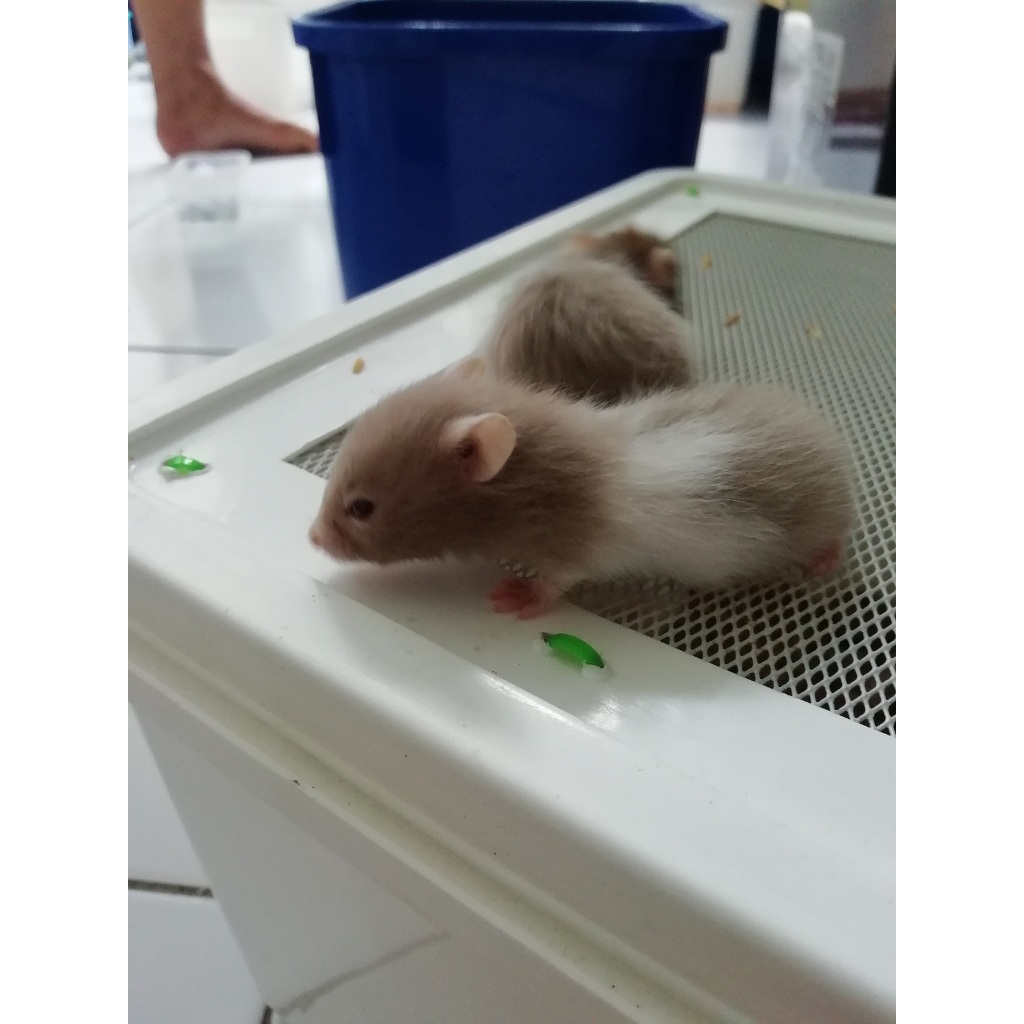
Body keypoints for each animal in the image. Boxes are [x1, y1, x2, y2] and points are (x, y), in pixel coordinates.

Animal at [309, 363, 855, 620]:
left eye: (362, 508)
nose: (311, 539)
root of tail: (830, 441)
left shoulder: (576, 552)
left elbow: (556, 581)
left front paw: (513, 598)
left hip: (818, 521)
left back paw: (822, 563)